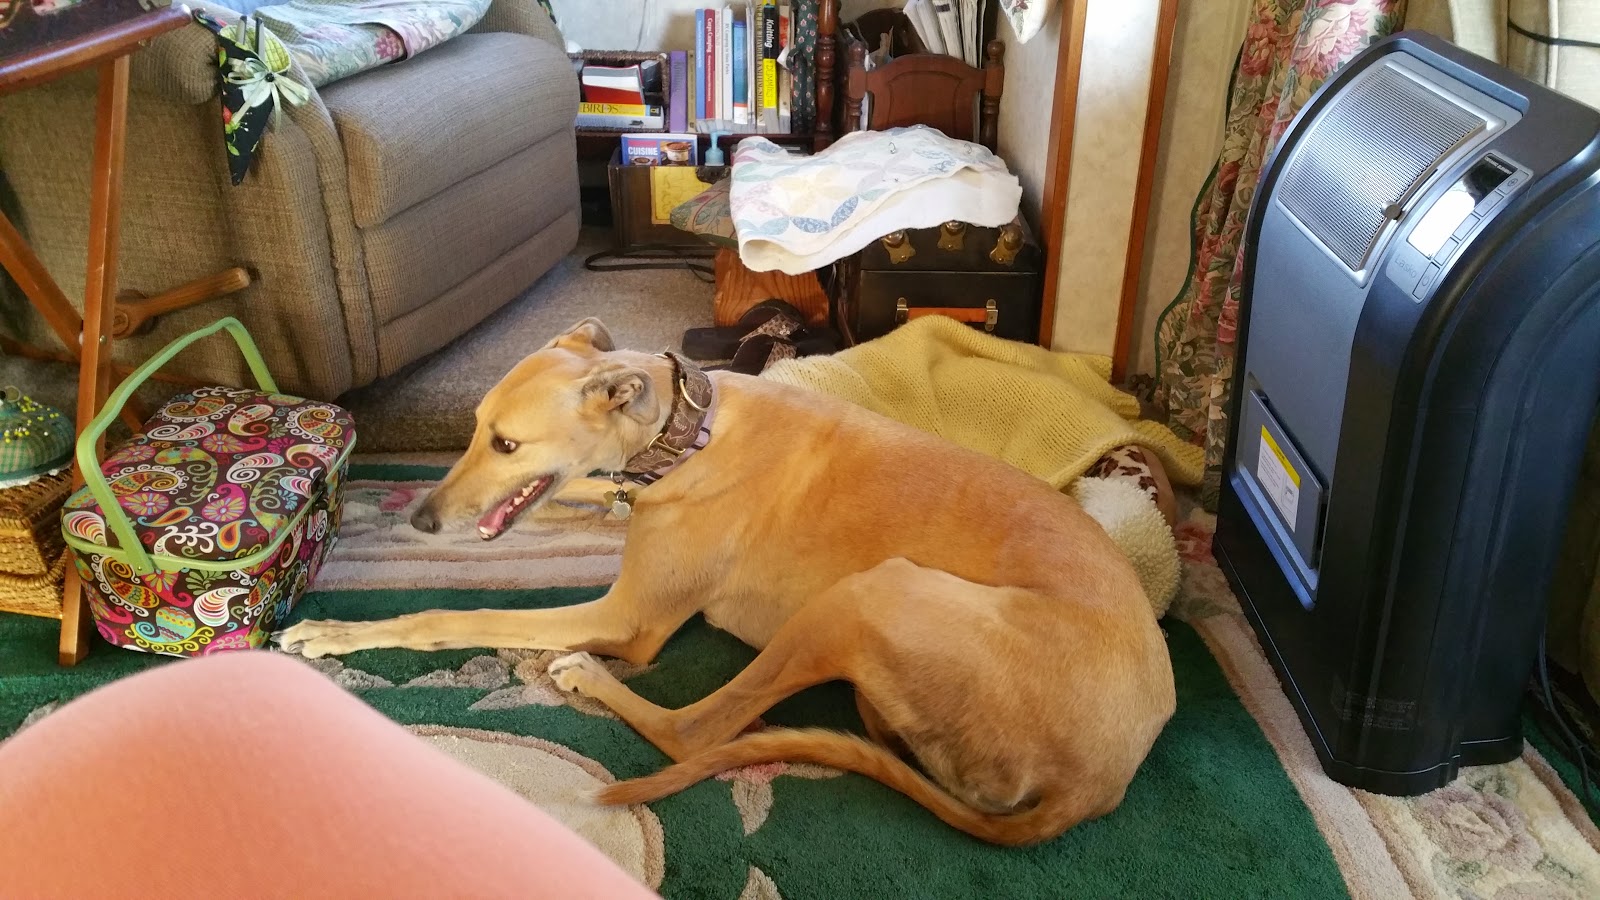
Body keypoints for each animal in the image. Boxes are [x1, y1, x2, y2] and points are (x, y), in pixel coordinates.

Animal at [275, 318, 1176, 846]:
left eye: (505, 445)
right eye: (469, 432)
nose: (424, 523)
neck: (692, 430)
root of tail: (1095, 786)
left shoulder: (633, 617)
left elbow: (446, 616)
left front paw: (331, 631)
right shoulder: (624, 492)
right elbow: (586, 488)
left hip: (867, 596)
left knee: (697, 732)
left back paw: (586, 677)